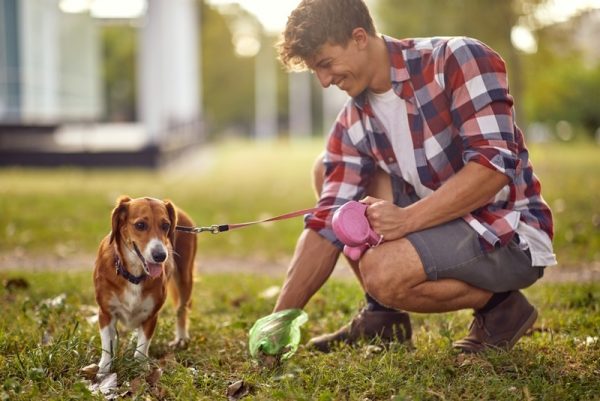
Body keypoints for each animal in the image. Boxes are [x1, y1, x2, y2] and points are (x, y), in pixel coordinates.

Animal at [94, 195, 196, 374]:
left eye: (166, 225)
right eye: (140, 225)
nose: (160, 256)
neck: (134, 275)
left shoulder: (151, 315)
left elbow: (141, 350)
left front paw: (141, 369)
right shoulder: (106, 313)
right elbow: (107, 347)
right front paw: (103, 371)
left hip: (185, 279)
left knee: (182, 309)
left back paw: (181, 338)